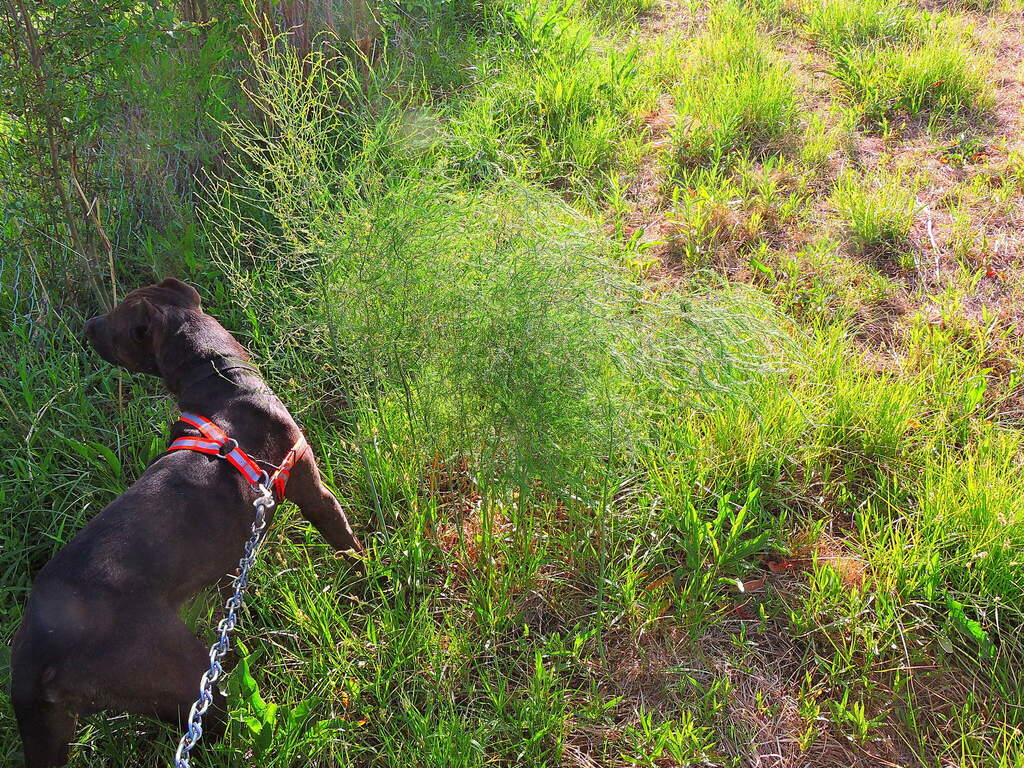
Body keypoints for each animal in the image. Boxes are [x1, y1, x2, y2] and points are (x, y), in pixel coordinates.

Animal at [11, 280, 360, 768]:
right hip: (182, 675)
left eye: (116, 323)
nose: (88, 326)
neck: (224, 383)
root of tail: (35, 651)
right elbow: (349, 544)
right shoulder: (315, 492)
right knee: (211, 726)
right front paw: (374, 584)